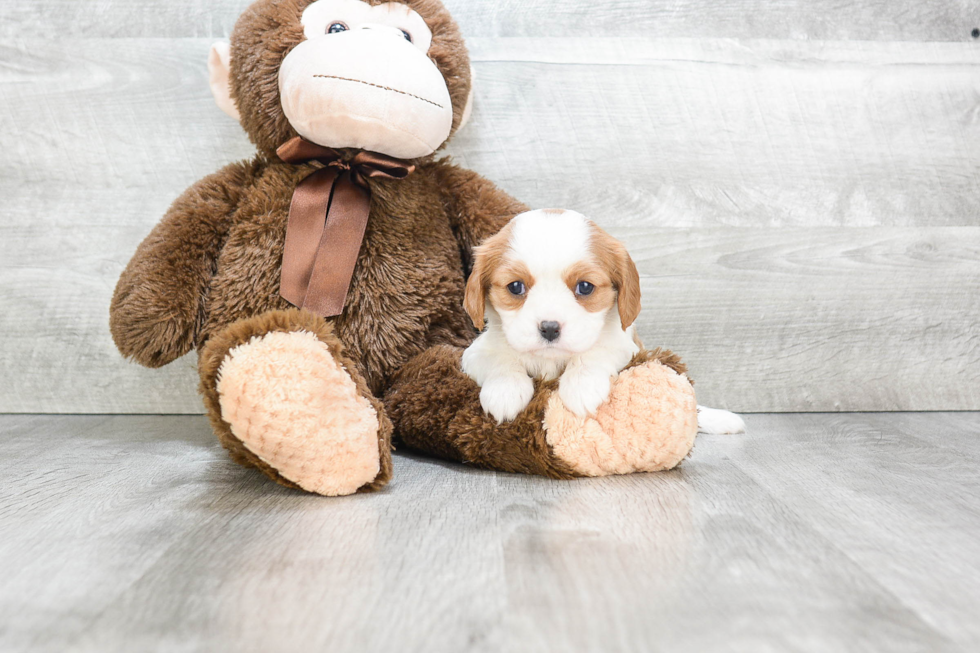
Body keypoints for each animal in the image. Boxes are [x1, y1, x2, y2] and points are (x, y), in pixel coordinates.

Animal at [458, 206, 744, 436]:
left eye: (585, 287)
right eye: (515, 287)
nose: (549, 328)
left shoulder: (626, 347)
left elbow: (594, 352)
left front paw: (581, 385)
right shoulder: (474, 354)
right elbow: (501, 361)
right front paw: (504, 391)